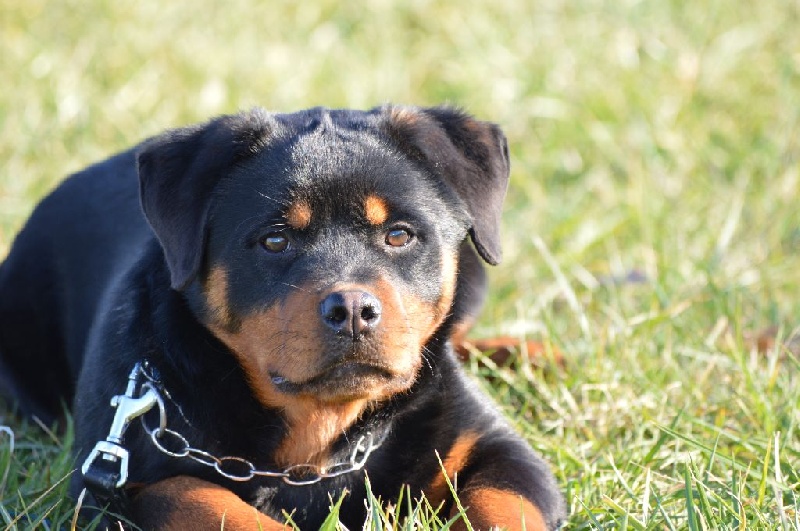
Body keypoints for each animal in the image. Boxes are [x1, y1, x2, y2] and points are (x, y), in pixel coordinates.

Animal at [0, 106, 568, 528]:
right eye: (275, 240)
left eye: (399, 234)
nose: (353, 310)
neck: (316, 441)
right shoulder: (114, 480)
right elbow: (203, 500)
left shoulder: (497, 450)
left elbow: (505, 505)